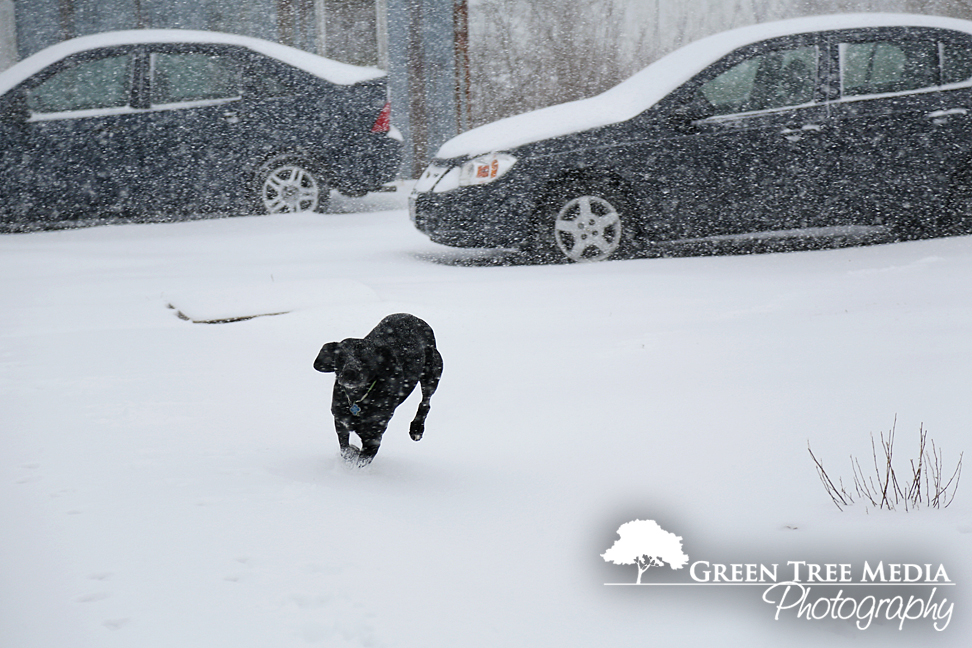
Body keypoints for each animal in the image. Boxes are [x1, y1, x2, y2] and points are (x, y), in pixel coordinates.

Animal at [314, 314, 442, 466]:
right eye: (340, 357)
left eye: (365, 358)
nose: (349, 373)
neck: (359, 397)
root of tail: (415, 318)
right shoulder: (341, 423)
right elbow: (345, 450)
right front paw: (352, 451)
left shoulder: (374, 438)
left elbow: (360, 462)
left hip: (432, 373)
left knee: (426, 402)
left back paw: (417, 428)